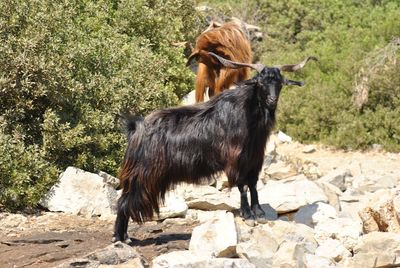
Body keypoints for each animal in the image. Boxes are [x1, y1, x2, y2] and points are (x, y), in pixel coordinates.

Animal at [112, 52, 316, 243]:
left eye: (280, 82)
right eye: (260, 82)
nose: (272, 100)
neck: (248, 117)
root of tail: (135, 128)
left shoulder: (255, 159)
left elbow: (253, 184)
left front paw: (259, 213)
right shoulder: (236, 160)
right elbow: (242, 186)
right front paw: (248, 215)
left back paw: (124, 236)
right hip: (142, 174)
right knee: (123, 201)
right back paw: (119, 237)